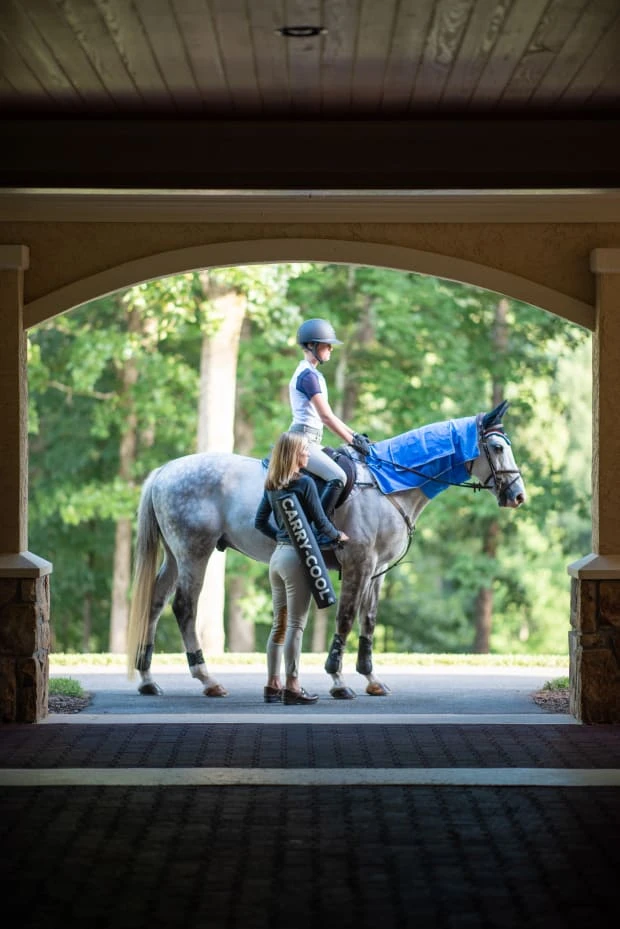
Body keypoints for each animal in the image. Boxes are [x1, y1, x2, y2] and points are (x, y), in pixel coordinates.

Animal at [126, 400, 526, 699]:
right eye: (496, 447)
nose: (517, 496)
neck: (388, 484)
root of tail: (165, 470)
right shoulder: (359, 564)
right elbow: (346, 617)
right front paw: (338, 680)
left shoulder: (376, 572)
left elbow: (369, 620)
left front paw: (371, 679)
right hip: (195, 552)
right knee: (183, 607)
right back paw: (206, 678)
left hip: (175, 556)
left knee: (155, 602)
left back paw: (147, 679)